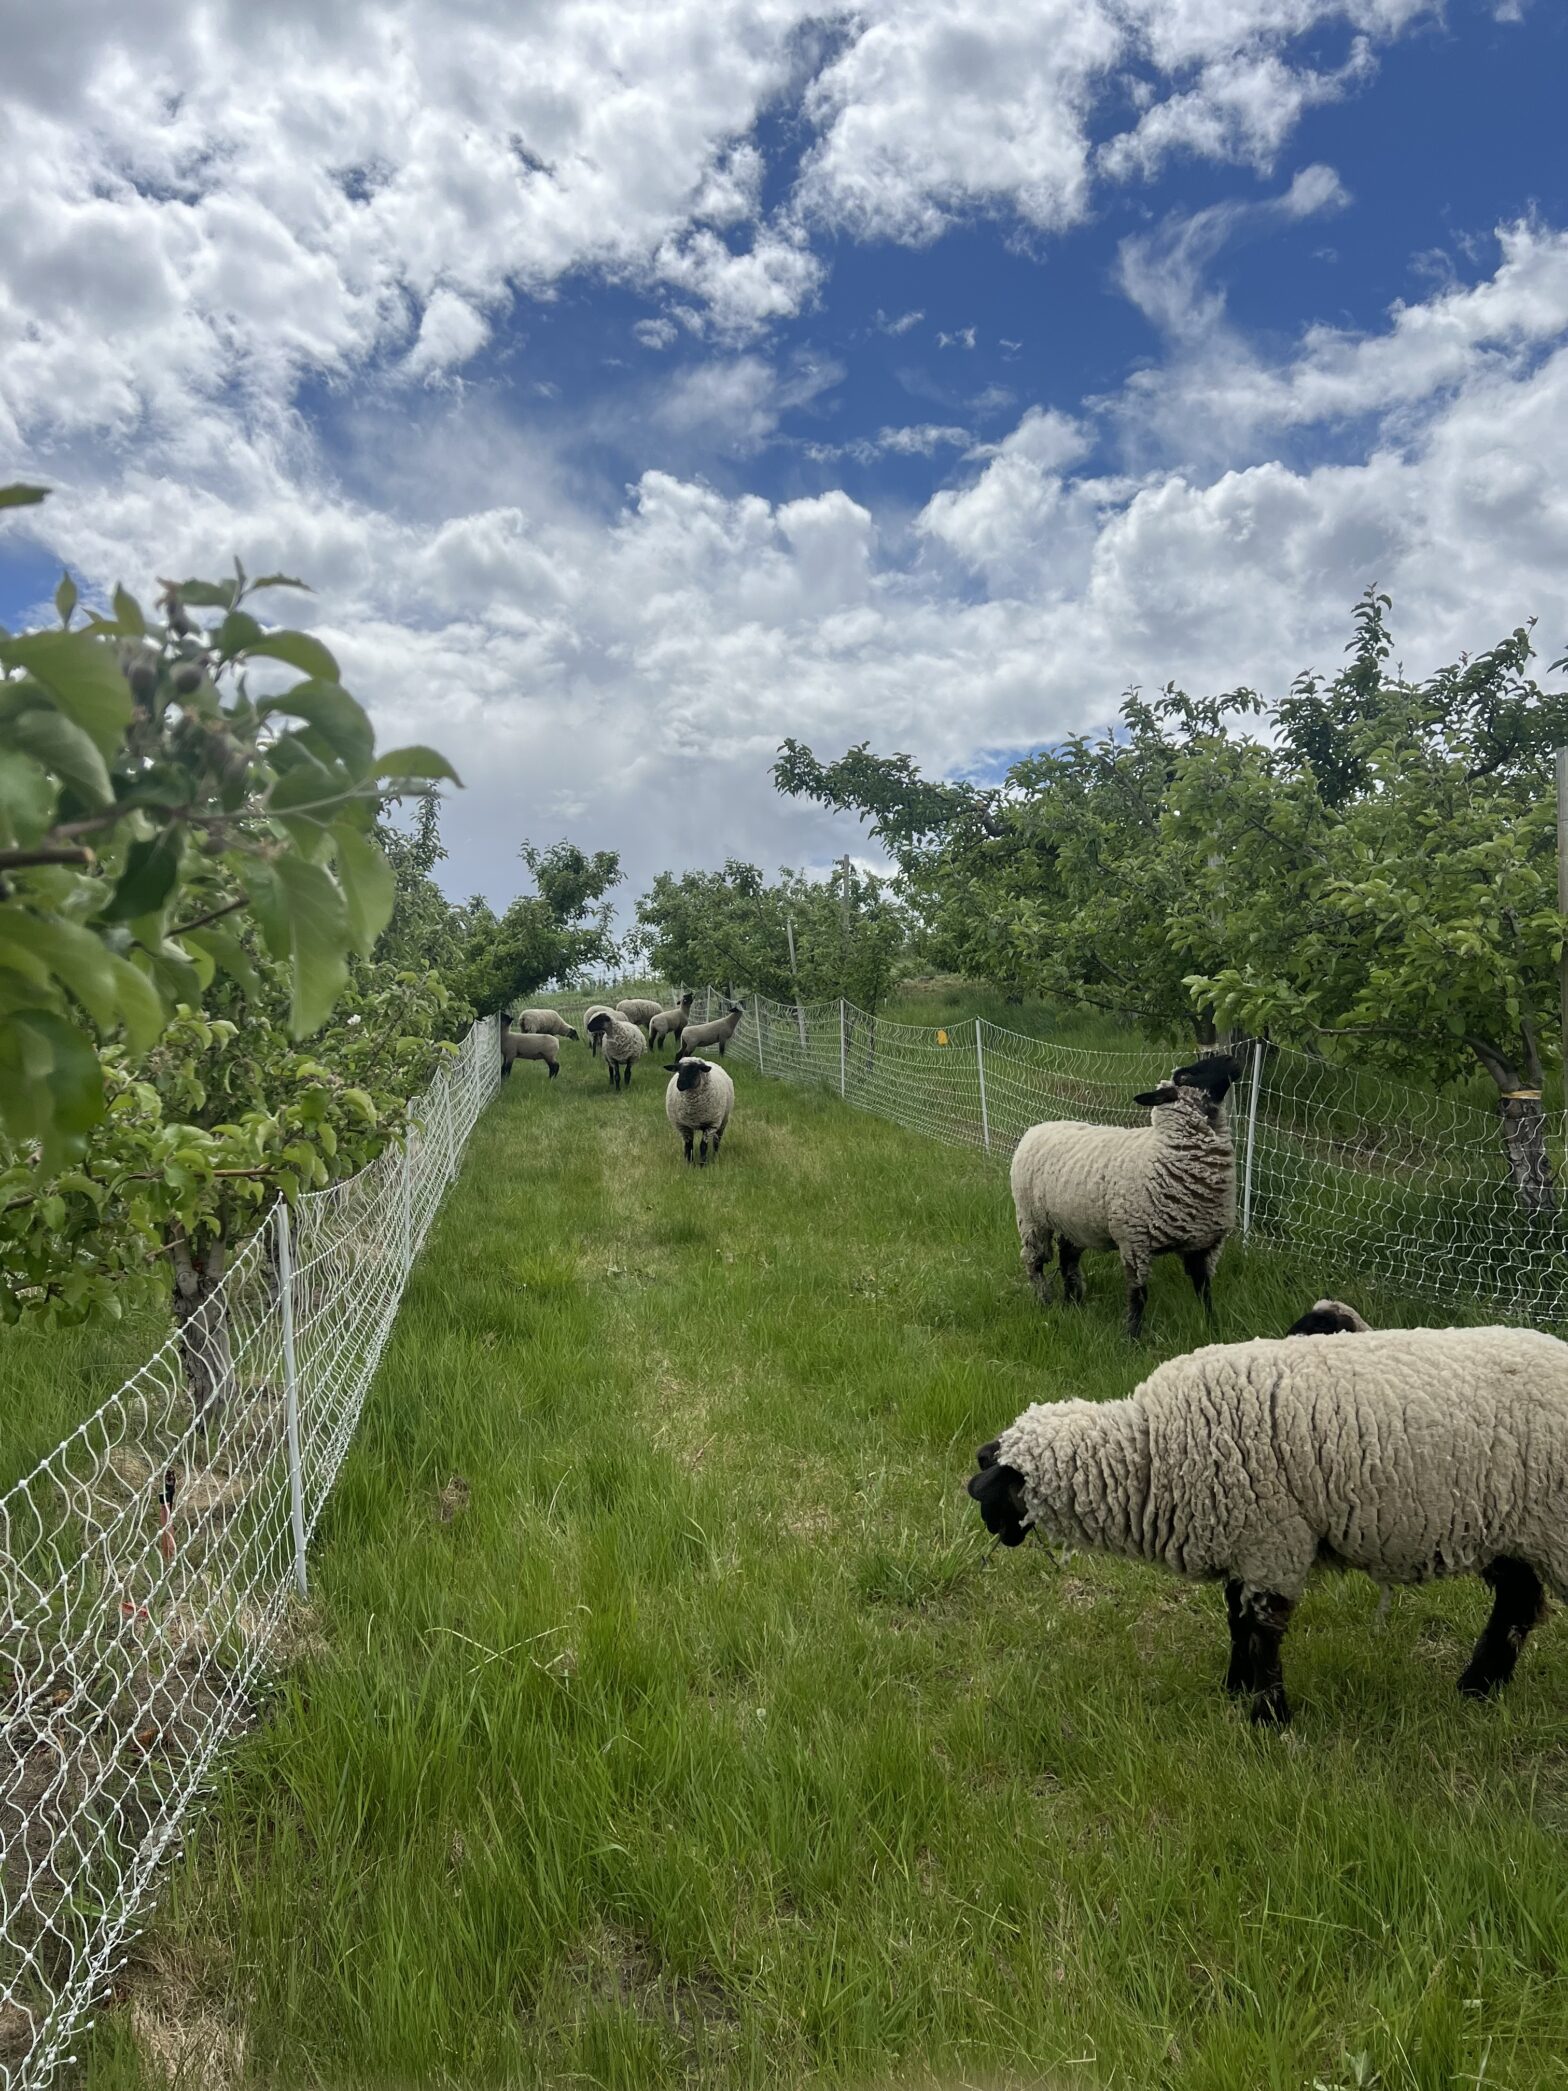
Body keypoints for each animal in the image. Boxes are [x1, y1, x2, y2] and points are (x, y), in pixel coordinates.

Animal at [967, 1324, 1568, 1726]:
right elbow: (1236, 1620)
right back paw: (1478, 1688)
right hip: (1511, 1529)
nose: (997, 1533)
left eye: (997, 1488)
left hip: (1553, 1528)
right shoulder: (1246, 1537)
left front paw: (1268, 1715)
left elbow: (1262, 1631)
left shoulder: (1272, 1541)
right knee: (1517, 1602)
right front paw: (1235, 1690)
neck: (1149, 1454)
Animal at [1009, 1052, 1244, 1339]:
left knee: (1068, 1260)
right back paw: (1044, 1299)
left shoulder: (1203, 1244)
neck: (1164, 1152)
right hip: (1032, 1219)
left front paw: (1213, 1327)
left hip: (1074, 1223)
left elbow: (1204, 1291)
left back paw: (1073, 1300)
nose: (1230, 1058)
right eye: (1185, 1076)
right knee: (1034, 1261)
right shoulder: (1135, 1241)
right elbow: (1138, 1294)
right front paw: (1132, 1336)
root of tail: (1037, 1127)